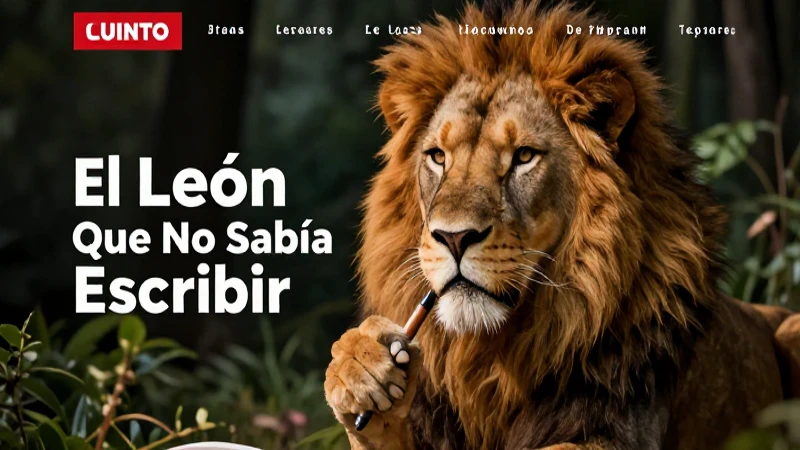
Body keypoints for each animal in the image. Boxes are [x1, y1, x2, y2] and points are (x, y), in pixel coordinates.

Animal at [323, 1, 800, 449]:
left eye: (524, 156)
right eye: (438, 157)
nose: (454, 238)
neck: (492, 357)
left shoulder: (618, 431)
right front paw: (360, 365)